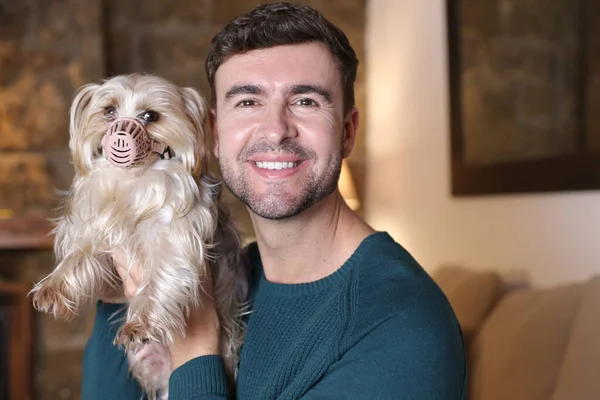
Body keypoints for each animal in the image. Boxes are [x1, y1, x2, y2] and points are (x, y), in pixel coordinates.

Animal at [29, 73, 250, 398]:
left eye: (150, 116)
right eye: (108, 111)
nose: (120, 134)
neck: (133, 180)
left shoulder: (175, 238)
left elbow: (163, 275)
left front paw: (141, 325)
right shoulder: (96, 228)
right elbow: (78, 256)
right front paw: (53, 288)